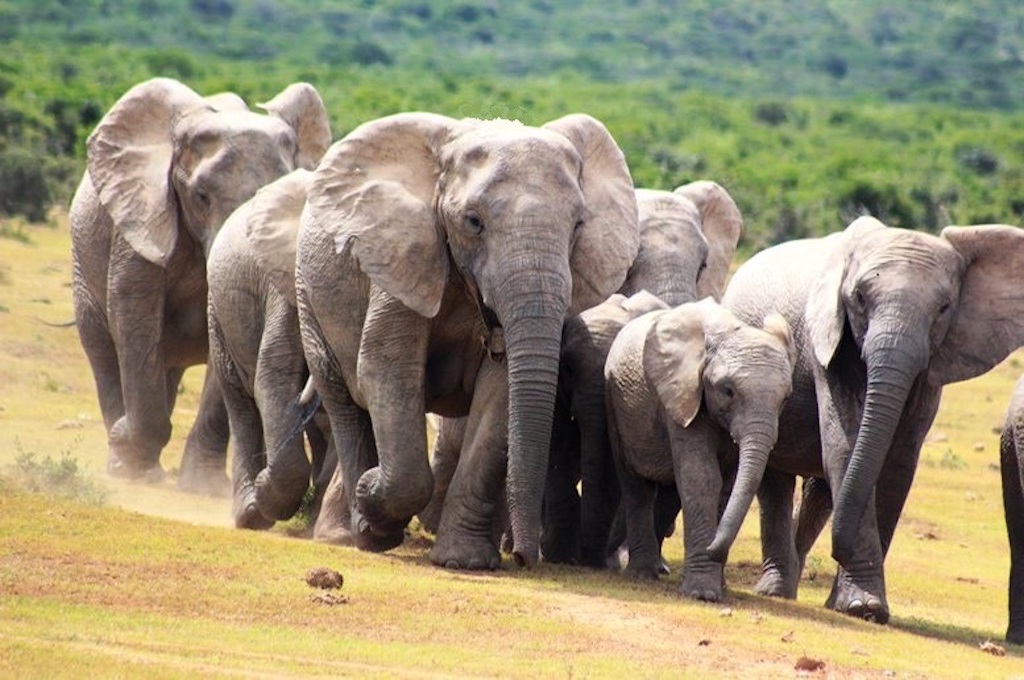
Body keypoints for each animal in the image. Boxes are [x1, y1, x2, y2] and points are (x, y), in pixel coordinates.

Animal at [68, 76, 329, 491]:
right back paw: (123, 461)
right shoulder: (140, 215)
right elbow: (132, 308)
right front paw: (131, 459)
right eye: (201, 196)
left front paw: (203, 486)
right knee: (102, 346)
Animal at [206, 166, 335, 528]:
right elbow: (273, 375)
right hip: (218, 312)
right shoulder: (284, 284)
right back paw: (249, 513)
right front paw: (266, 494)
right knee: (241, 402)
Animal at [292, 111, 634, 569]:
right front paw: (374, 512)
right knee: (346, 403)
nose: (524, 558)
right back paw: (354, 529)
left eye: (578, 225)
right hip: (309, 296)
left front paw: (464, 561)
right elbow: (386, 368)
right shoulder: (404, 255)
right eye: (474, 222)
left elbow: (499, 395)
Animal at [602, 296, 794, 602]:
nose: (713, 549)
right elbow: (702, 477)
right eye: (728, 390)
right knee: (636, 486)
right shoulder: (682, 393)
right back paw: (642, 574)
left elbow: (726, 485)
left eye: (785, 398)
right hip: (614, 401)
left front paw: (720, 587)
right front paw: (703, 594)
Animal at [724, 216, 1024, 622]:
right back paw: (775, 591)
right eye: (860, 299)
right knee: (776, 481)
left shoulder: (931, 365)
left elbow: (897, 462)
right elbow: (845, 445)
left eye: (944, 308)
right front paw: (863, 608)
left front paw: (858, 607)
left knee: (820, 491)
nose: (839, 550)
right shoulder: (827, 343)